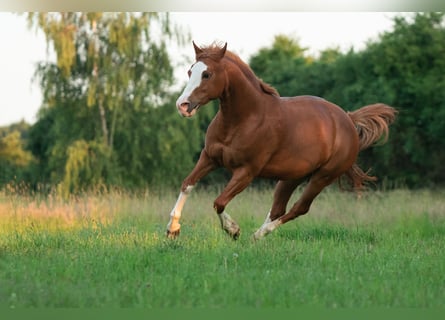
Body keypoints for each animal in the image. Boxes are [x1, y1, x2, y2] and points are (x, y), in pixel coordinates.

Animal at [165, 41, 394, 240]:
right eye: (190, 71)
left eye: (207, 74)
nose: (182, 105)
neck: (244, 119)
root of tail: (349, 120)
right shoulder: (209, 158)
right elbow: (187, 184)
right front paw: (172, 229)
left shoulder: (246, 171)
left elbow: (219, 202)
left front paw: (233, 230)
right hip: (291, 177)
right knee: (278, 209)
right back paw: (257, 236)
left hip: (322, 177)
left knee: (298, 208)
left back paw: (257, 235)